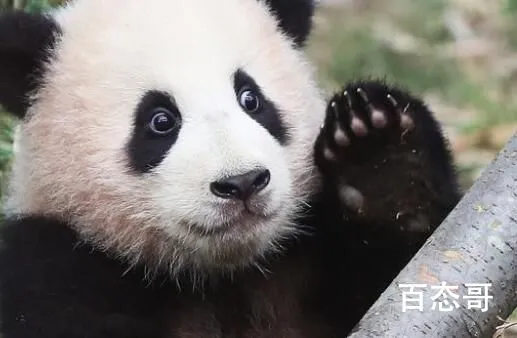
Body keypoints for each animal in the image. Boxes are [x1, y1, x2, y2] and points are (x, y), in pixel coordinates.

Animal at [0, 0, 460, 336]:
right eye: (160, 121)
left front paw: (382, 160)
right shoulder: (50, 266)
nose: (242, 183)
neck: (222, 275)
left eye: (250, 99)